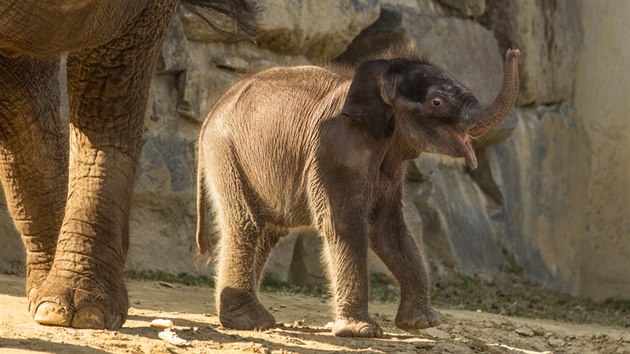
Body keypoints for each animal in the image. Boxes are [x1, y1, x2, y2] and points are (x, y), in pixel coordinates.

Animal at [198, 45, 524, 336]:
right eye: (437, 102)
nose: (514, 51)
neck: (379, 76)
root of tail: (210, 113)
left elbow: (388, 228)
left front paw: (422, 324)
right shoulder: (334, 150)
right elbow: (344, 224)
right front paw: (361, 331)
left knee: (269, 230)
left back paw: (249, 319)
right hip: (226, 154)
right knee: (248, 224)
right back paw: (249, 322)